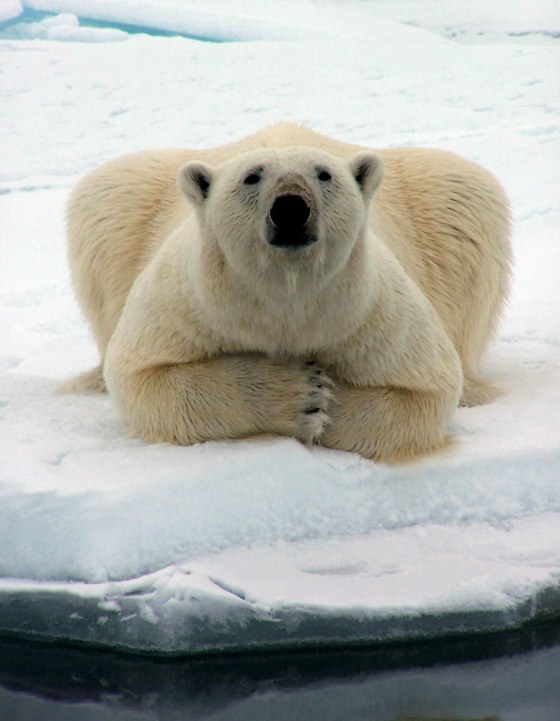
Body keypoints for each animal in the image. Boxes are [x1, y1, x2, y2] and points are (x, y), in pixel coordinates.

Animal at [63, 122, 511, 462]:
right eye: (252, 175)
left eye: (324, 174)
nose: (291, 208)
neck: (288, 302)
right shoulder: (185, 305)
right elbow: (145, 379)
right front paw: (299, 393)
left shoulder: (375, 316)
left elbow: (426, 391)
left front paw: (324, 399)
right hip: (128, 202)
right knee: (106, 197)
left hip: (440, 206)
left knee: (466, 199)